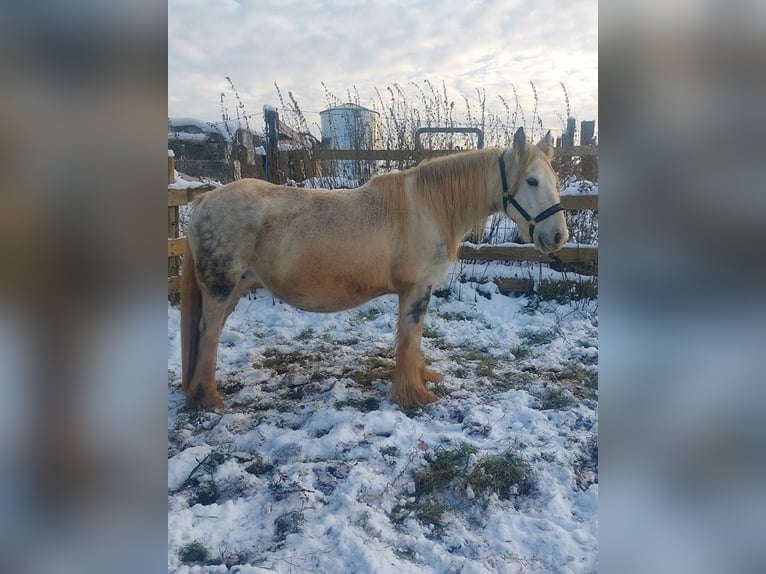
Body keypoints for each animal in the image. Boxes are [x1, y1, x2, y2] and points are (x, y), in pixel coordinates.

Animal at [178, 128, 564, 412]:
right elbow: (409, 339)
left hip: (235, 288)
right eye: (531, 181)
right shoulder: (416, 288)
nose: (558, 236)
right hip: (221, 288)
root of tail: (203, 200)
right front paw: (414, 396)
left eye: (555, 180)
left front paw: (423, 378)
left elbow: (414, 340)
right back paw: (209, 399)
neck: (428, 208)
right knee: (208, 334)